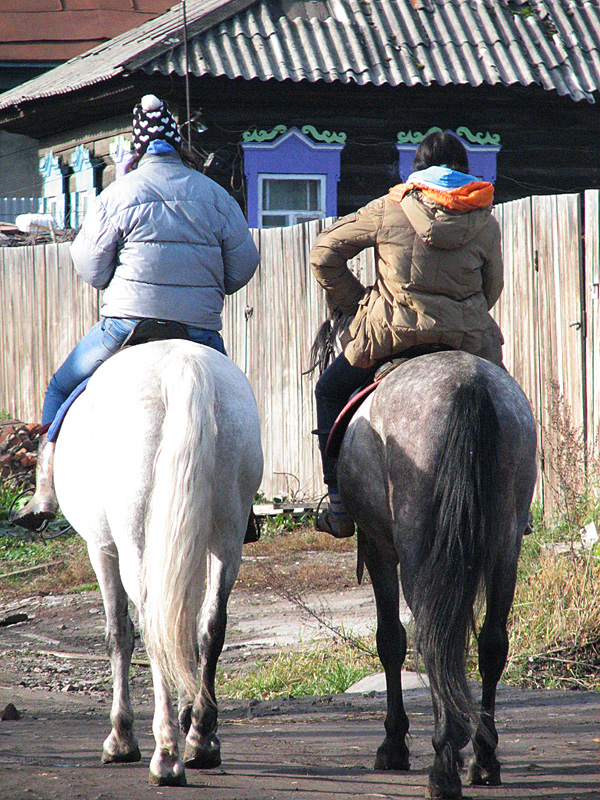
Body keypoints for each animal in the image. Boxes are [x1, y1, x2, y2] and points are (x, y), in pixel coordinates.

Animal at [53, 340, 262, 788]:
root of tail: (183, 364)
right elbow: (186, 625)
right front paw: (190, 712)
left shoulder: (102, 548)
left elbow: (119, 633)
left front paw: (121, 738)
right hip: (226, 536)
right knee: (209, 624)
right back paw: (201, 739)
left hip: (136, 543)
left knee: (152, 627)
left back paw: (166, 755)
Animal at [322, 340, 536, 796]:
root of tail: (467, 385)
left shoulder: (379, 548)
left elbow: (390, 641)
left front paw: (393, 745)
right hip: (505, 544)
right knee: (491, 643)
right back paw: (483, 757)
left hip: (417, 548)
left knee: (434, 639)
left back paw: (444, 762)